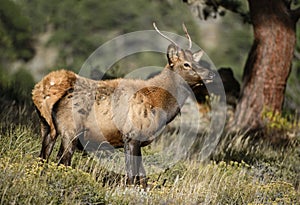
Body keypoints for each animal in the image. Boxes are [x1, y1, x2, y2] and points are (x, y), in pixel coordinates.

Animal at [32, 22, 216, 187]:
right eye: (186, 64)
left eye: (196, 61)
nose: (211, 74)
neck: (159, 105)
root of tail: (41, 92)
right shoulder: (131, 136)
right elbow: (132, 176)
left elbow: (142, 178)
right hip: (70, 131)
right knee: (62, 161)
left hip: (47, 128)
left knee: (43, 158)